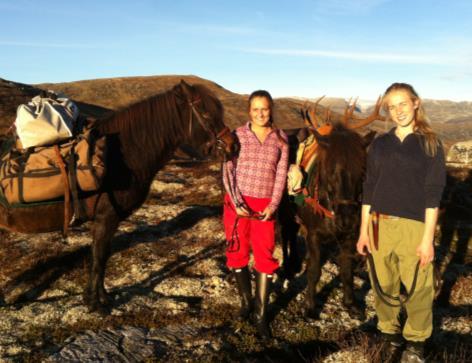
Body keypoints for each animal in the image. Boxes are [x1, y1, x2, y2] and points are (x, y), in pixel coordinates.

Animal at [0, 81, 236, 314]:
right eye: (206, 114)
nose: (233, 146)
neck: (120, 157)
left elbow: (101, 256)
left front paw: (100, 297)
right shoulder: (107, 218)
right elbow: (100, 257)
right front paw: (96, 303)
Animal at [280, 123, 372, 320]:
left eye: (362, 173)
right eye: (330, 171)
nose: (346, 219)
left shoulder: (349, 237)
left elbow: (346, 270)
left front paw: (350, 303)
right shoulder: (314, 236)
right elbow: (314, 271)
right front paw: (310, 307)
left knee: (292, 233)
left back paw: (296, 262)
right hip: (284, 212)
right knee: (285, 235)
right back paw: (288, 266)